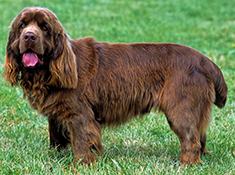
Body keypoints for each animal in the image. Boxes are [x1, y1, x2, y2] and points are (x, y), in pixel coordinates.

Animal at [4, 7, 228, 165]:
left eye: (45, 28)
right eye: (22, 26)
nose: (29, 36)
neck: (47, 71)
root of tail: (204, 60)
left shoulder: (80, 114)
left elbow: (81, 140)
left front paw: (80, 164)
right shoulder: (57, 113)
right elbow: (56, 136)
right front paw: (54, 157)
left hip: (180, 108)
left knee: (190, 140)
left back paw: (185, 165)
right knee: (200, 136)